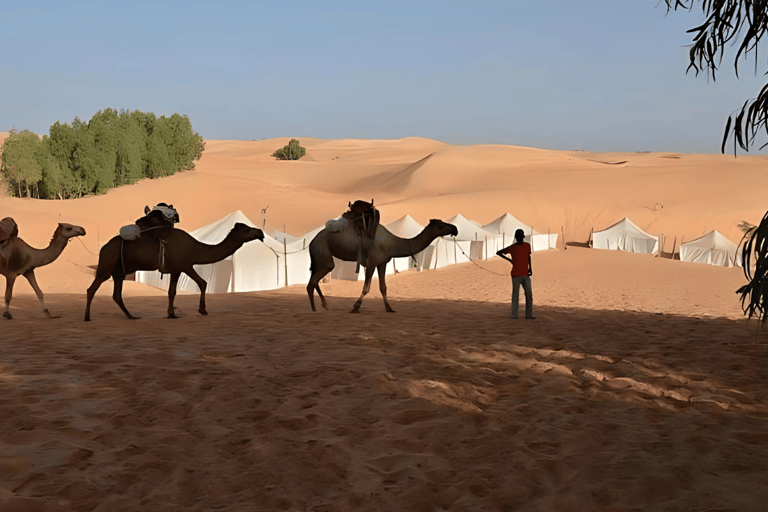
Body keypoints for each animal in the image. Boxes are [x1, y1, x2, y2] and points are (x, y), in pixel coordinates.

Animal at [84, 222, 264, 321]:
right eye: (247, 229)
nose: (260, 232)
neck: (195, 248)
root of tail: (103, 247)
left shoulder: (177, 269)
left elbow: (178, 289)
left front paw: (172, 313)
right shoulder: (183, 266)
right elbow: (197, 285)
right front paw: (201, 310)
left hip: (119, 272)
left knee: (116, 294)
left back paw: (131, 316)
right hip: (107, 265)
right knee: (91, 289)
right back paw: (87, 317)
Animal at [307, 219, 458, 313]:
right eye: (440, 226)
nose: (455, 228)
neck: (391, 243)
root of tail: (312, 241)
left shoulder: (382, 263)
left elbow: (383, 287)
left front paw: (389, 308)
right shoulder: (372, 262)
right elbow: (366, 288)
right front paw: (356, 306)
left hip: (319, 257)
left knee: (312, 282)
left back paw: (320, 306)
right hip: (323, 253)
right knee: (315, 279)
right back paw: (317, 308)